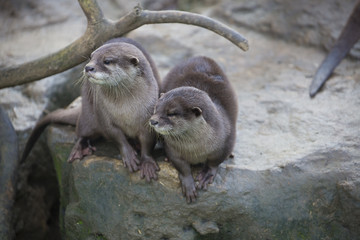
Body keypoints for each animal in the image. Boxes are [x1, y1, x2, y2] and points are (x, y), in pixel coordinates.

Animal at [23, 37, 161, 180]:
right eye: (91, 57)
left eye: (107, 61)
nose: (88, 67)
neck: (126, 110)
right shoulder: (103, 113)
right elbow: (116, 136)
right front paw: (128, 155)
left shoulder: (148, 115)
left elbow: (147, 141)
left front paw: (147, 163)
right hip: (88, 116)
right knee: (81, 132)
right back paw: (79, 149)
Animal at [148, 56, 238, 202]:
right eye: (156, 107)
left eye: (171, 113)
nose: (153, 121)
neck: (196, 148)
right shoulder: (173, 148)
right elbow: (181, 165)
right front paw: (188, 184)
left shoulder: (227, 141)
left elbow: (215, 161)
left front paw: (207, 174)